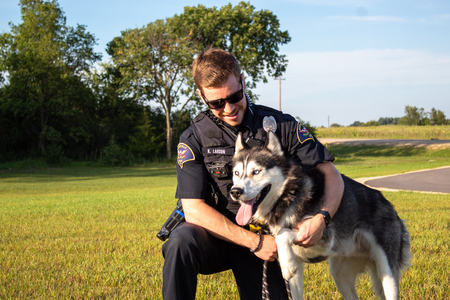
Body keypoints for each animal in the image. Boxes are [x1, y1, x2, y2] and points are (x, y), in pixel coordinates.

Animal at [230, 132, 410, 300]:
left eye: (256, 172)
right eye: (237, 173)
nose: (235, 192)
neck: (288, 197)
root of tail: (390, 207)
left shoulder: (322, 237)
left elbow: (282, 234)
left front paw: (286, 266)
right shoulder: (297, 272)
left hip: (387, 273)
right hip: (340, 275)